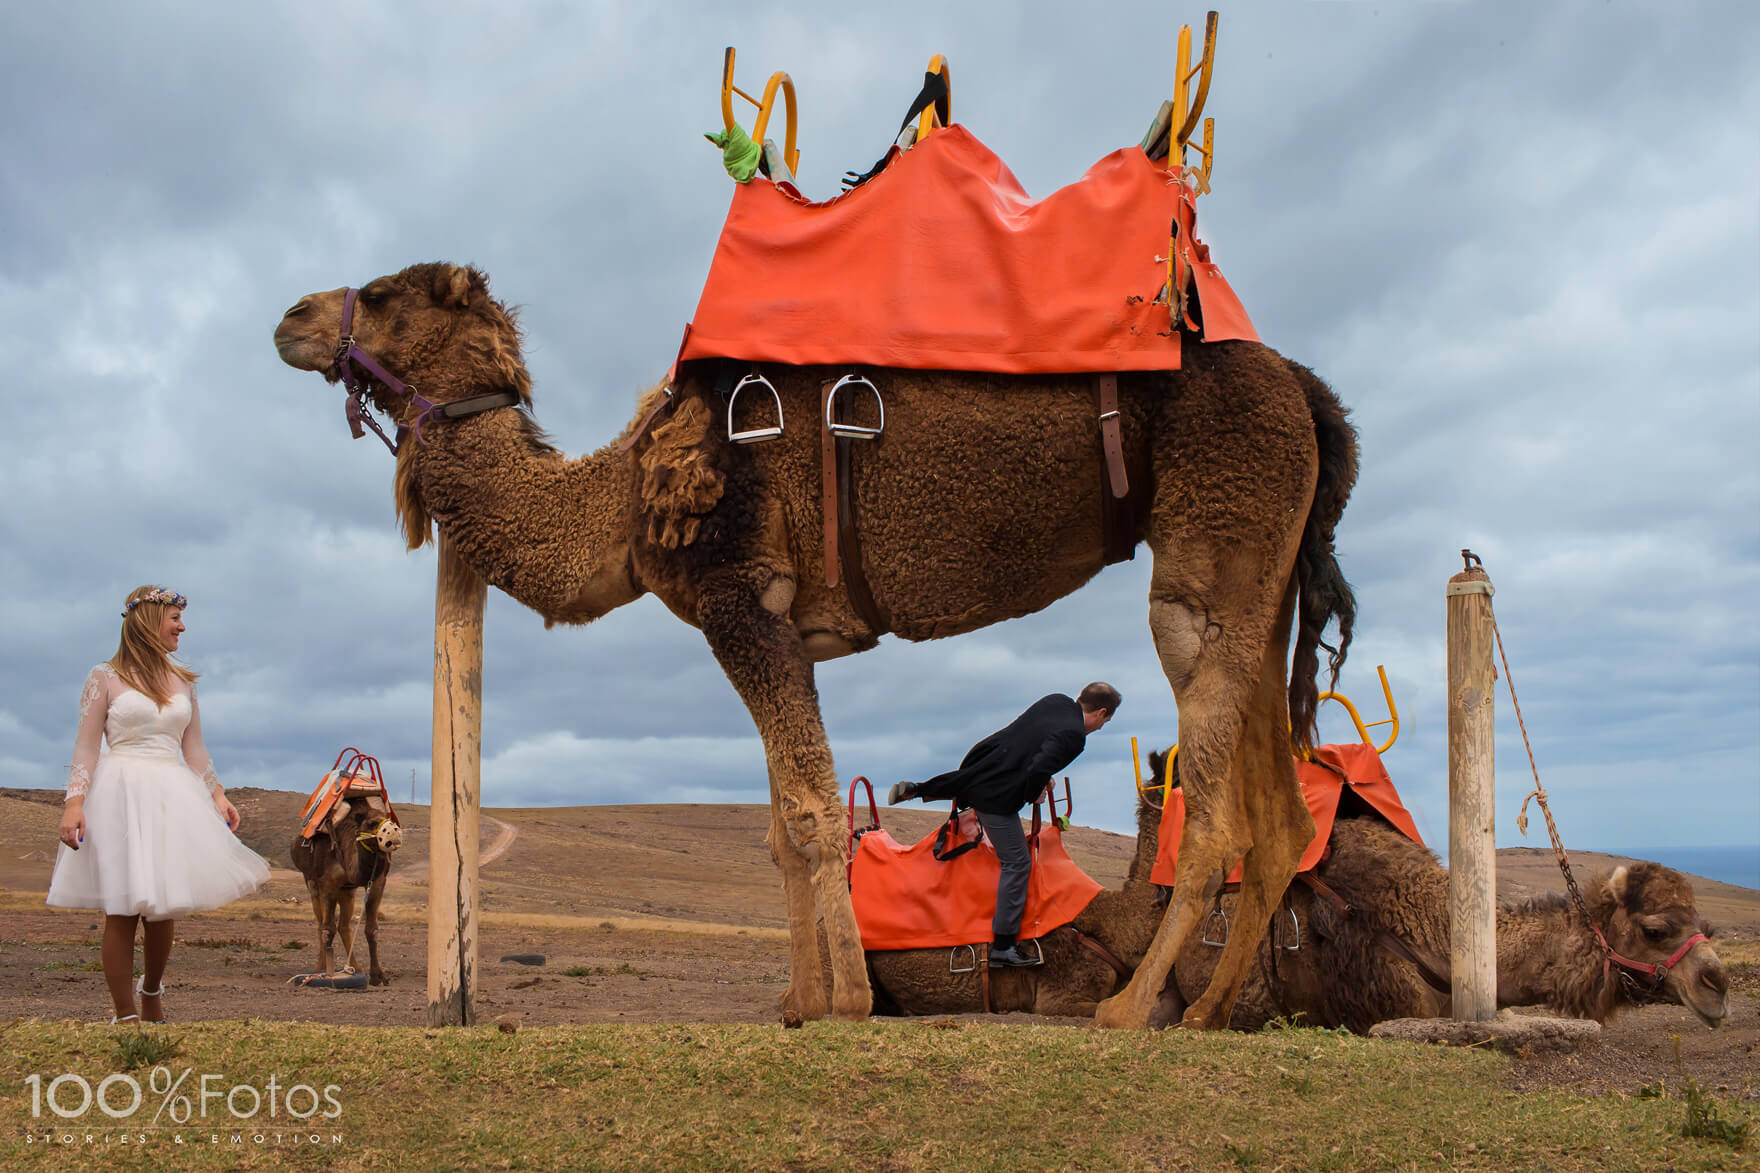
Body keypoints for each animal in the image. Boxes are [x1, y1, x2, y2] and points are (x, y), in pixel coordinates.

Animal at [271, 260, 1358, 1021]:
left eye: (381, 293)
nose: (290, 319)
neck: (627, 494)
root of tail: (1305, 388)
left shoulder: (740, 598)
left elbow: (805, 813)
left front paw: (843, 1001)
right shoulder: (779, 625)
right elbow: (781, 826)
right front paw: (798, 1000)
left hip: (1210, 550)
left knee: (1211, 792)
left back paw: (1132, 1010)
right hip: (1262, 568)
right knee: (1279, 807)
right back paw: (1210, 1012)